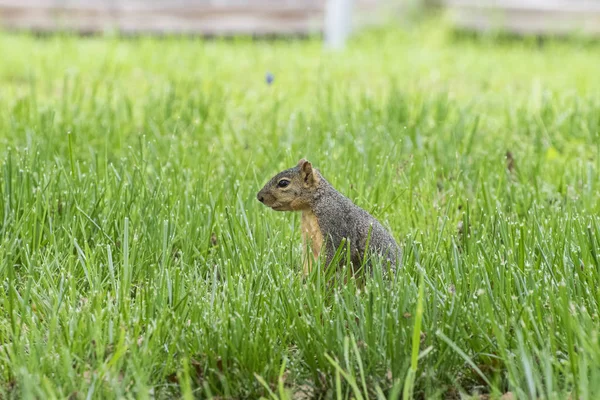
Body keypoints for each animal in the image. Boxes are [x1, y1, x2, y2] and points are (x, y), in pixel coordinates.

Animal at [256, 157, 400, 276]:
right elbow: (308, 259)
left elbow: (336, 254)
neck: (314, 204)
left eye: (283, 183)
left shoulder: (334, 222)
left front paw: (316, 278)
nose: (259, 197)